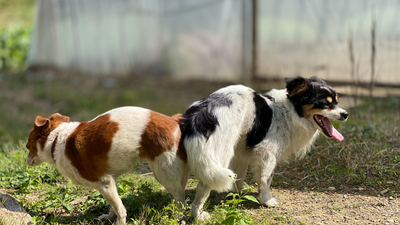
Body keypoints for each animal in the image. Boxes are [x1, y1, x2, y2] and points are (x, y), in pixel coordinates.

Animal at [25, 107, 190, 223]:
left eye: (28, 147)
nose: (25, 161)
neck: (57, 139)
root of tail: (175, 121)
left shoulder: (104, 182)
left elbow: (120, 208)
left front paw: (120, 222)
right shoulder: (111, 181)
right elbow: (114, 205)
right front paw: (109, 217)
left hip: (164, 172)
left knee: (180, 199)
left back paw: (176, 217)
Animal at [180, 76, 348, 220]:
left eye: (336, 102)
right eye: (326, 104)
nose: (345, 114)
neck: (289, 111)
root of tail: (204, 112)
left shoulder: (241, 151)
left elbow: (239, 176)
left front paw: (238, 194)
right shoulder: (268, 153)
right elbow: (266, 180)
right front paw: (266, 201)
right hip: (219, 156)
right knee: (203, 186)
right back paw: (198, 215)